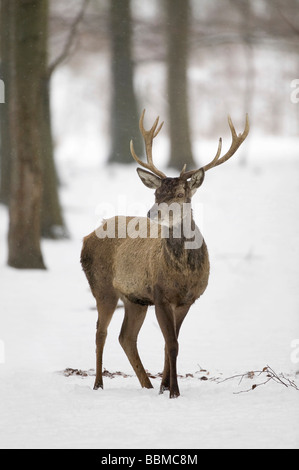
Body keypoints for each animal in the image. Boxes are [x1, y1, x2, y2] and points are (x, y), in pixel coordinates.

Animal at [81, 109, 250, 396]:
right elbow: (171, 344)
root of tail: (88, 235)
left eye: (181, 193)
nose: (152, 212)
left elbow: (171, 343)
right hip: (102, 286)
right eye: (157, 193)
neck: (183, 273)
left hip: (134, 298)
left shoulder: (187, 300)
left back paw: (147, 385)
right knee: (100, 333)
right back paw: (98, 384)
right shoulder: (160, 294)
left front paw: (164, 387)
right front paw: (174, 392)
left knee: (126, 337)